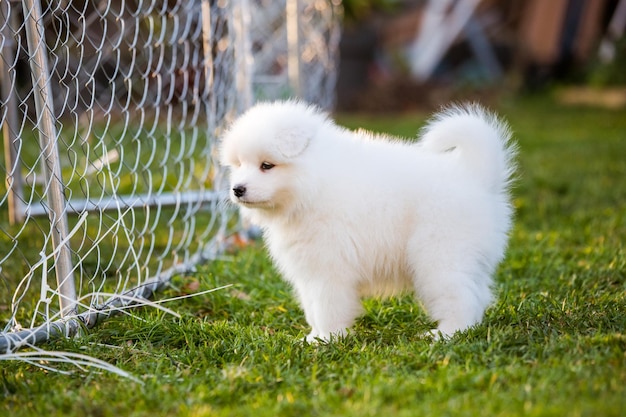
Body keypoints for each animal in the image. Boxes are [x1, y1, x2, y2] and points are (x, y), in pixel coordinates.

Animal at [218, 101, 512, 342]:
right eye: (239, 164)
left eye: (267, 165)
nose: (237, 189)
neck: (314, 184)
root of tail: (477, 176)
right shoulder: (308, 268)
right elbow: (312, 306)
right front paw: (314, 337)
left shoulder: (328, 267)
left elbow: (326, 306)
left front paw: (326, 339)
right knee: (477, 295)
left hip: (440, 256)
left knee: (460, 298)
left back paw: (446, 334)